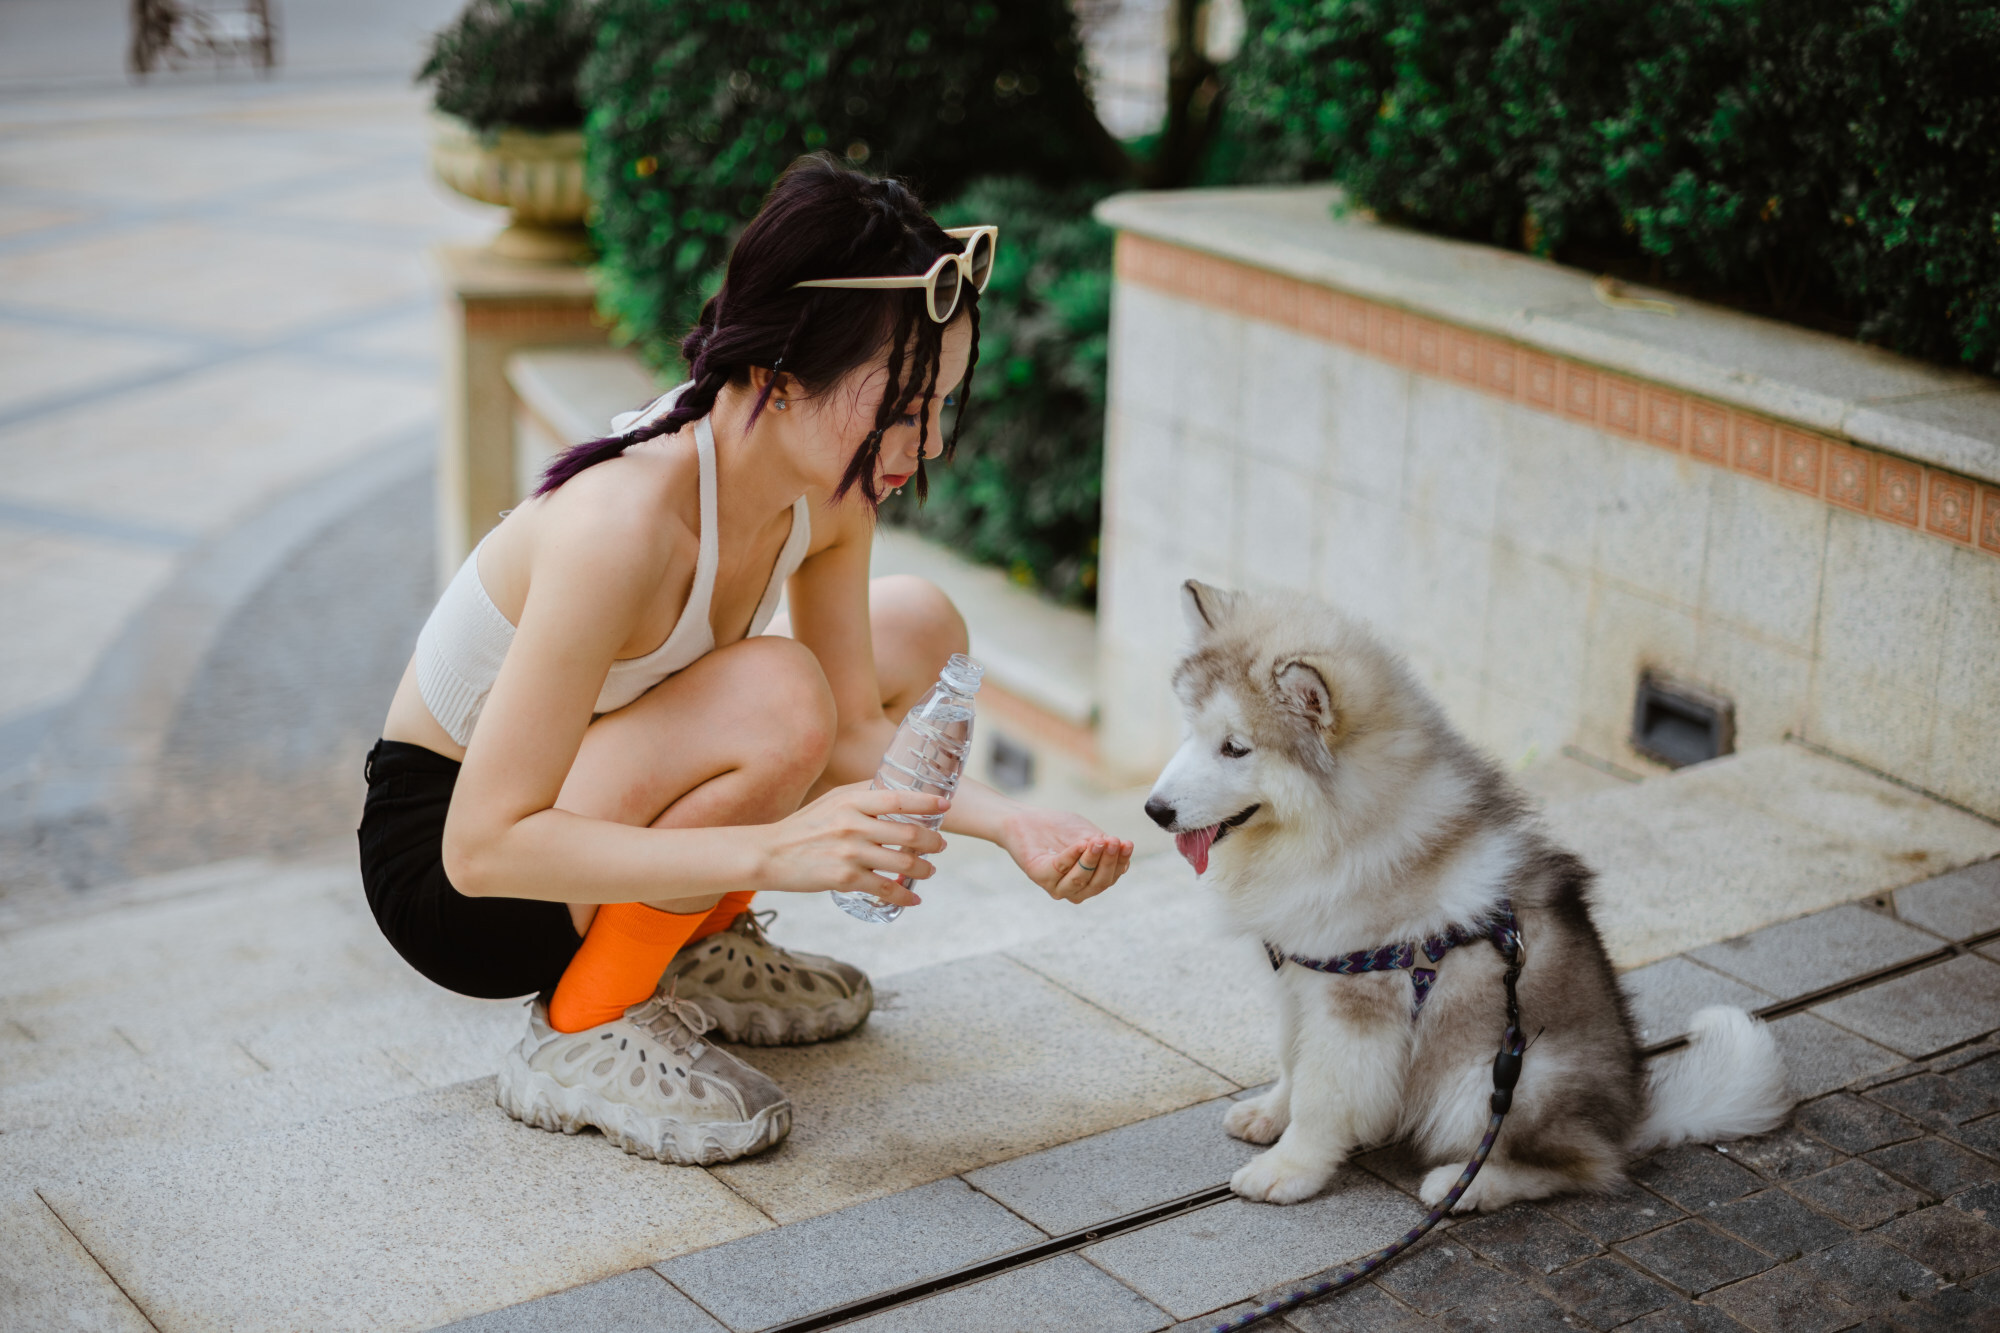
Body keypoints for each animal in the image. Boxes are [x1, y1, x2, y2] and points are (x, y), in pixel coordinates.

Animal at [1152, 580, 1792, 1200]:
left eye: (1236, 747)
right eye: (1190, 733)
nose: (1155, 810)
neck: (1339, 829)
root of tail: (1629, 1116)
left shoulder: (1357, 1002)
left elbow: (1322, 1095)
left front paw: (1289, 1169)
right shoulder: (1298, 976)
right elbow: (1292, 1059)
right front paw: (1269, 1114)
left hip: (1496, 1077)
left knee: (1580, 1165)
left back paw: (1465, 1187)